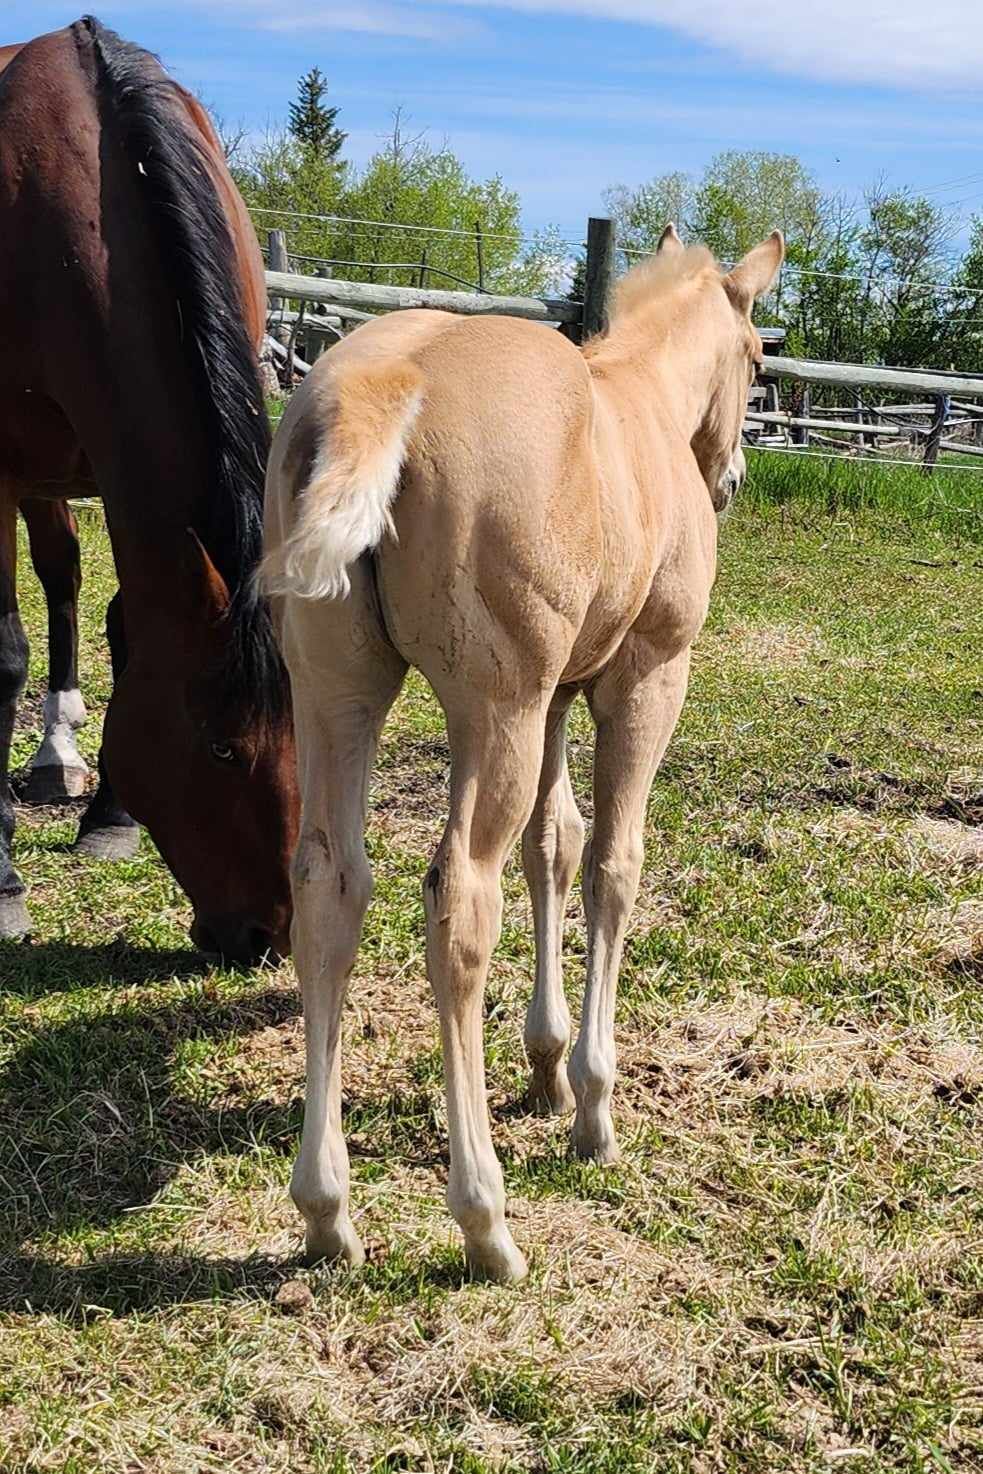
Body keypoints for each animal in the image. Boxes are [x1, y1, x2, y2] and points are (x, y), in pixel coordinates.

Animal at [0, 18, 298, 962]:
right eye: (220, 748)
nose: (265, 937)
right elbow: (4, 653)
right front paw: (5, 880)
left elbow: (128, 626)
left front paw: (110, 818)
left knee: (62, 575)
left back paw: (58, 752)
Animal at [261, 225, 784, 1280]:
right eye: (757, 361)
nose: (731, 481)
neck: (642, 405)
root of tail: (384, 382)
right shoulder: (643, 679)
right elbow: (612, 863)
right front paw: (592, 1105)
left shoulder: (559, 695)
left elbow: (555, 844)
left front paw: (545, 1068)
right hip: (492, 708)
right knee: (461, 898)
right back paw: (485, 1220)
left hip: (340, 691)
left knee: (329, 886)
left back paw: (326, 1212)